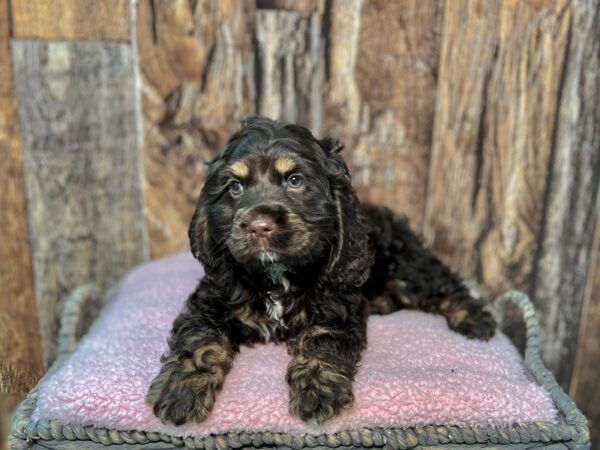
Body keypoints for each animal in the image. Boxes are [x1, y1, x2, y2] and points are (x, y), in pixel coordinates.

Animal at [146, 116, 496, 426]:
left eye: (295, 181)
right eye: (234, 187)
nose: (259, 225)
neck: (277, 274)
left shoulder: (337, 303)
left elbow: (322, 338)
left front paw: (318, 393)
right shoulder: (210, 301)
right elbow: (197, 339)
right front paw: (180, 392)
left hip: (408, 267)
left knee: (446, 286)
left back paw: (475, 320)